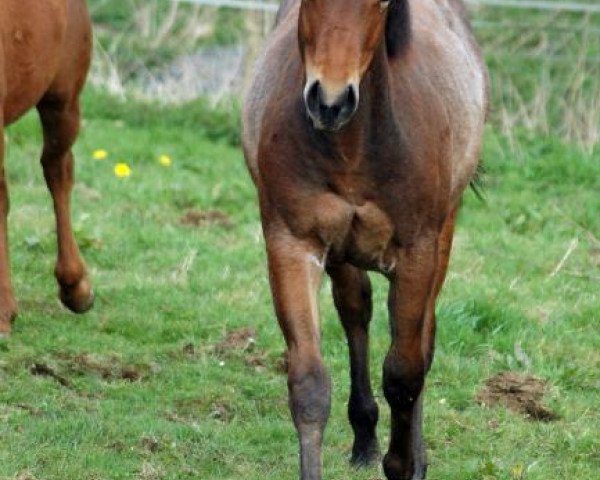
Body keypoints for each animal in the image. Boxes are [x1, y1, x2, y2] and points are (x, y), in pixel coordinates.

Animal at [243, 0, 488, 480]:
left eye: (381, 5)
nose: (330, 101)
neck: (353, 150)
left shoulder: (417, 255)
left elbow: (405, 372)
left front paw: (404, 464)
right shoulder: (292, 245)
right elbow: (309, 384)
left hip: (442, 237)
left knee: (422, 340)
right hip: (343, 255)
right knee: (356, 311)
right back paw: (364, 436)